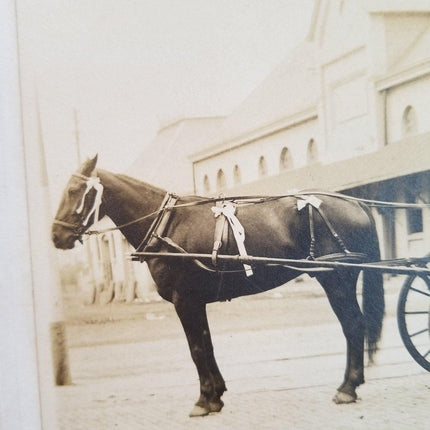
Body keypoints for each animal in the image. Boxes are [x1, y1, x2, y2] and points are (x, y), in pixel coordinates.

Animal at [52, 156, 384, 418]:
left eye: (73, 191)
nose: (56, 236)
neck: (168, 226)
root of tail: (355, 202)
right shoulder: (196, 302)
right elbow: (206, 344)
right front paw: (216, 395)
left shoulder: (185, 301)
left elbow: (196, 348)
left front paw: (203, 400)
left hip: (337, 281)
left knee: (354, 325)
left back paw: (347, 388)